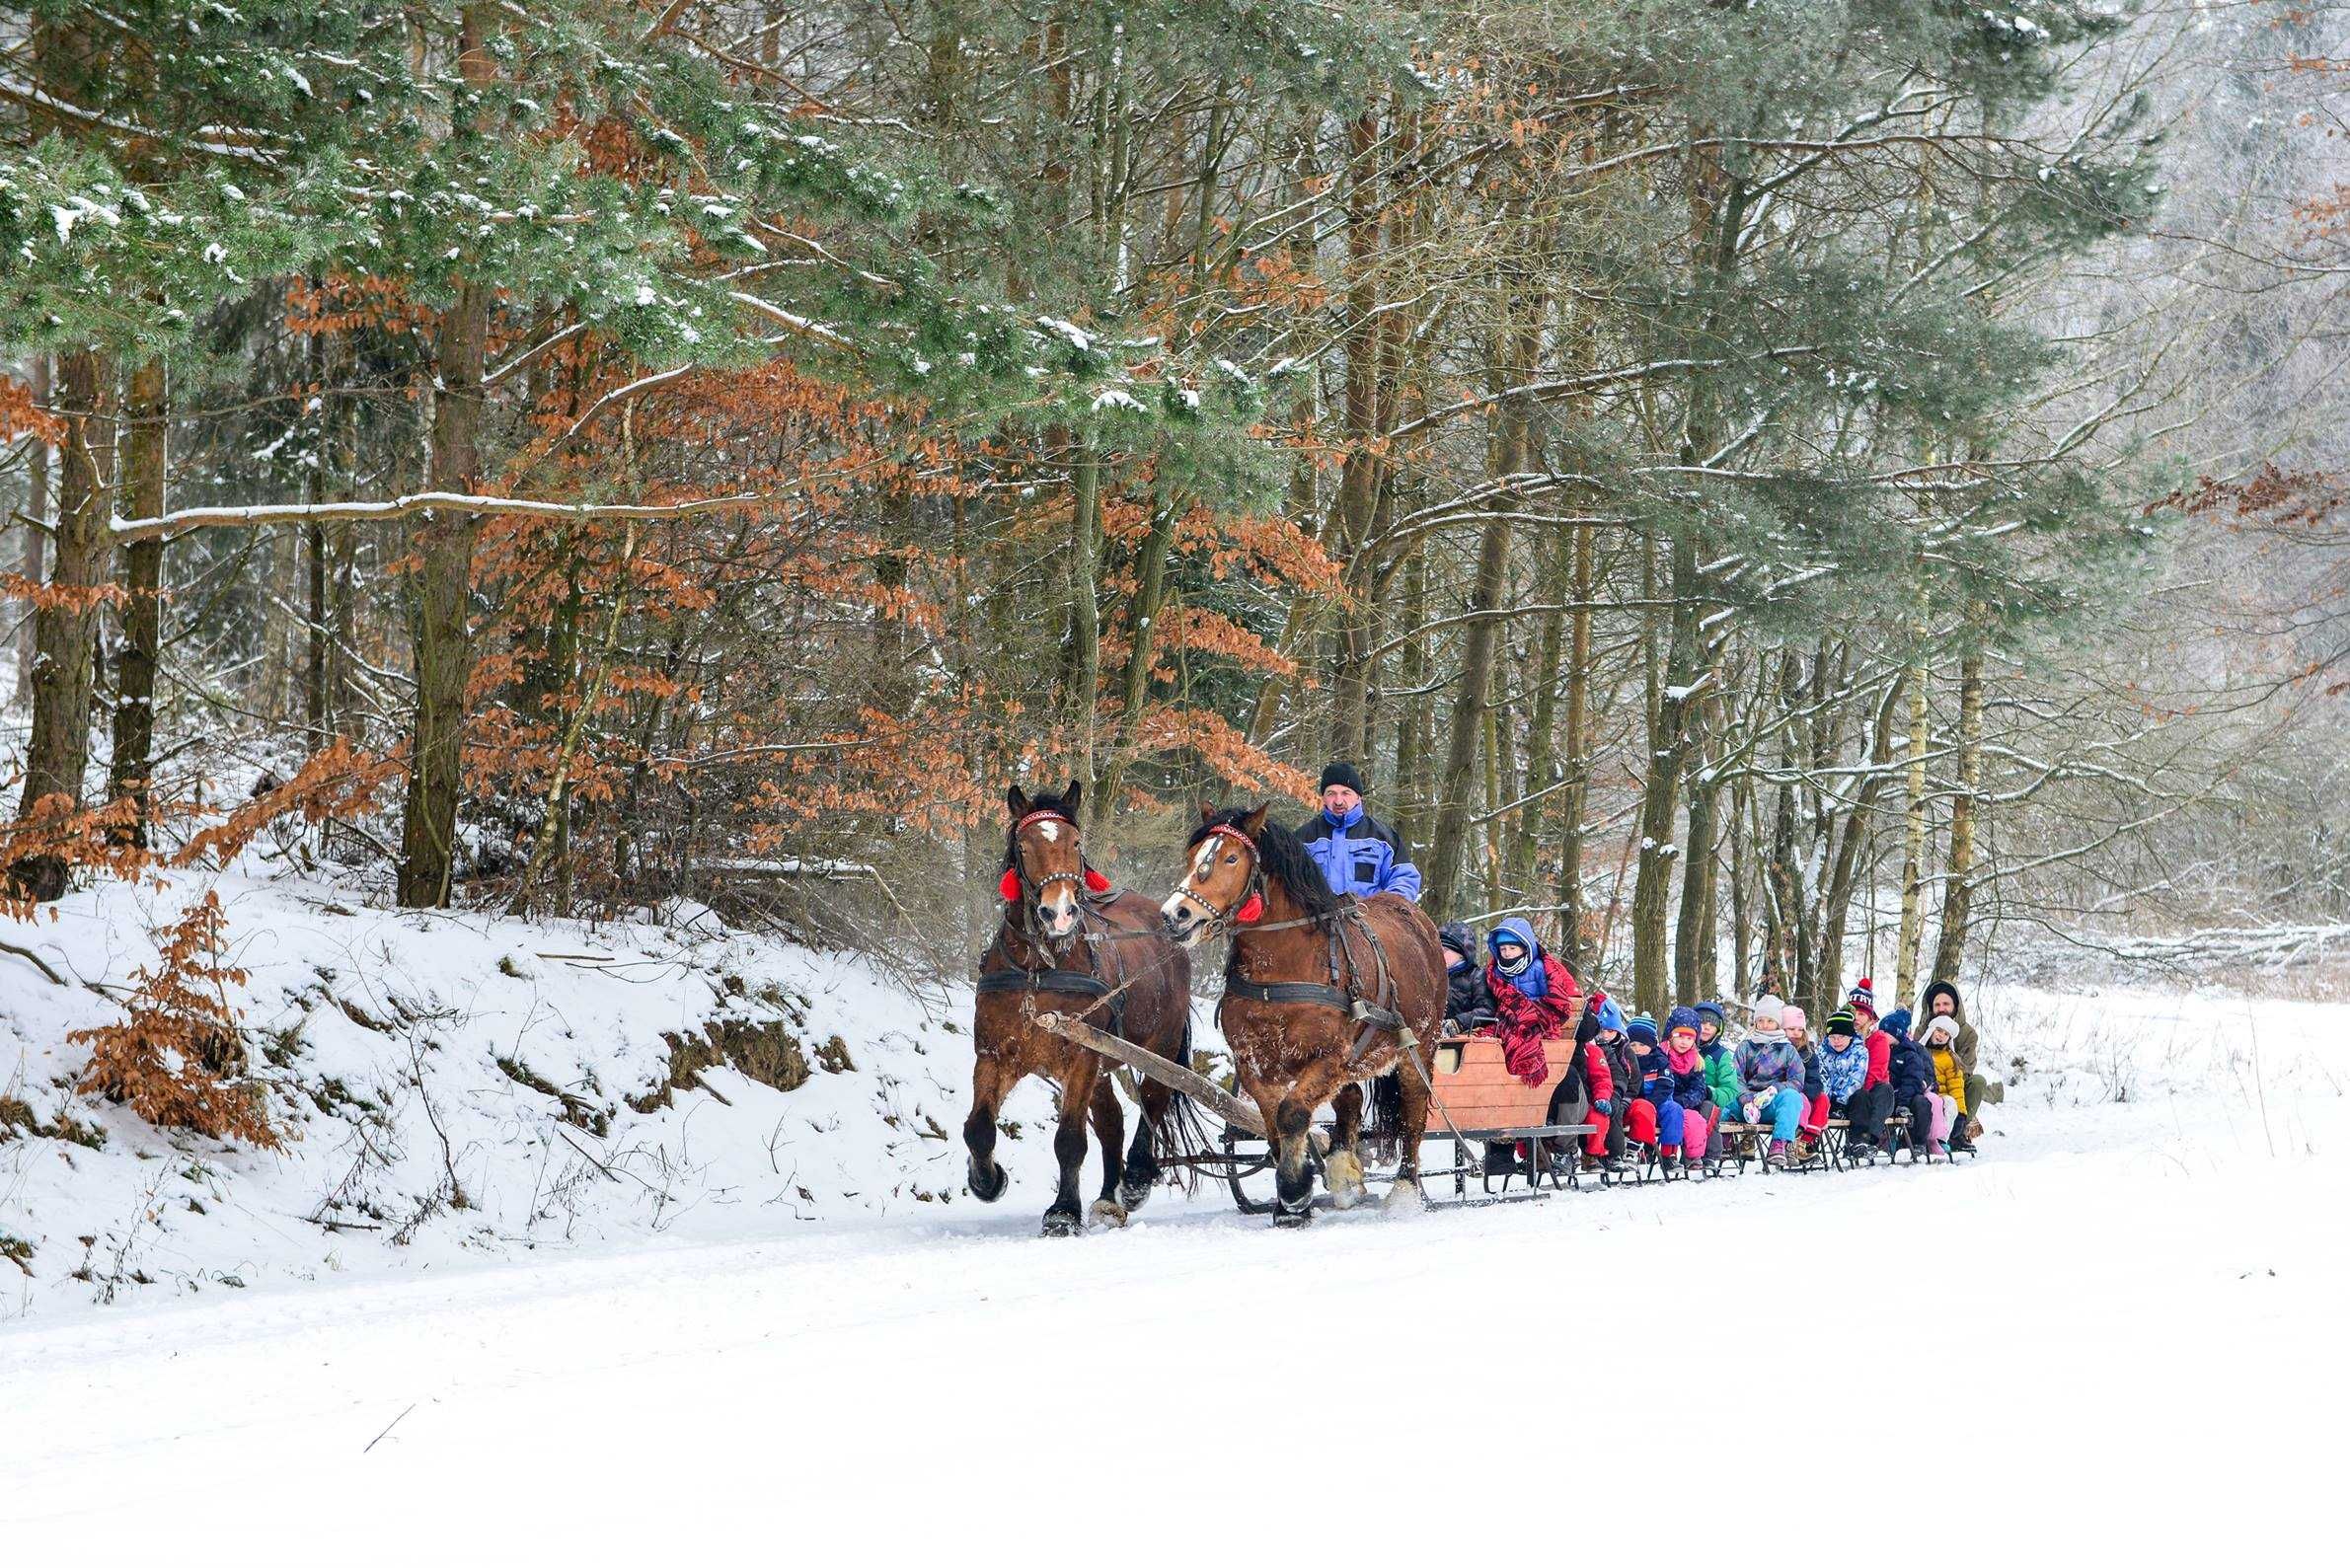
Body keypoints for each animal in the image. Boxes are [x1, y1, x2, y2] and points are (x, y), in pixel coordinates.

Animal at [967, 784, 1203, 1240]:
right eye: (1024, 846)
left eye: (1075, 843)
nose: (1058, 913)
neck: (1039, 969)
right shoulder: (994, 1055)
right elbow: (979, 1130)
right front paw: (987, 1180)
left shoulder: (1080, 1057)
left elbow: (1070, 1141)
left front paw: (1062, 1213)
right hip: (1104, 1062)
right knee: (1113, 1123)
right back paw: (1109, 1200)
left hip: (1157, 1048)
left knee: (1154, 1101)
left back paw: (1135, 1182)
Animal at [1161, 808, 1447, 1222]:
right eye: (1191, 856)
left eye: (1231, 858)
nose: (1175, 915)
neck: (1281, 964)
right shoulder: (1254, 1063)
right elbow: (1272, 1122)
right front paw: (1290, 1197)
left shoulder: (1328, 1057)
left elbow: (1292, 1114)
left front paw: (1295, 1191)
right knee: (1351, 1099)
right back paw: (1343, 1171)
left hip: (1418, 1048)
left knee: (1413, 1112)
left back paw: (1406, 1190)